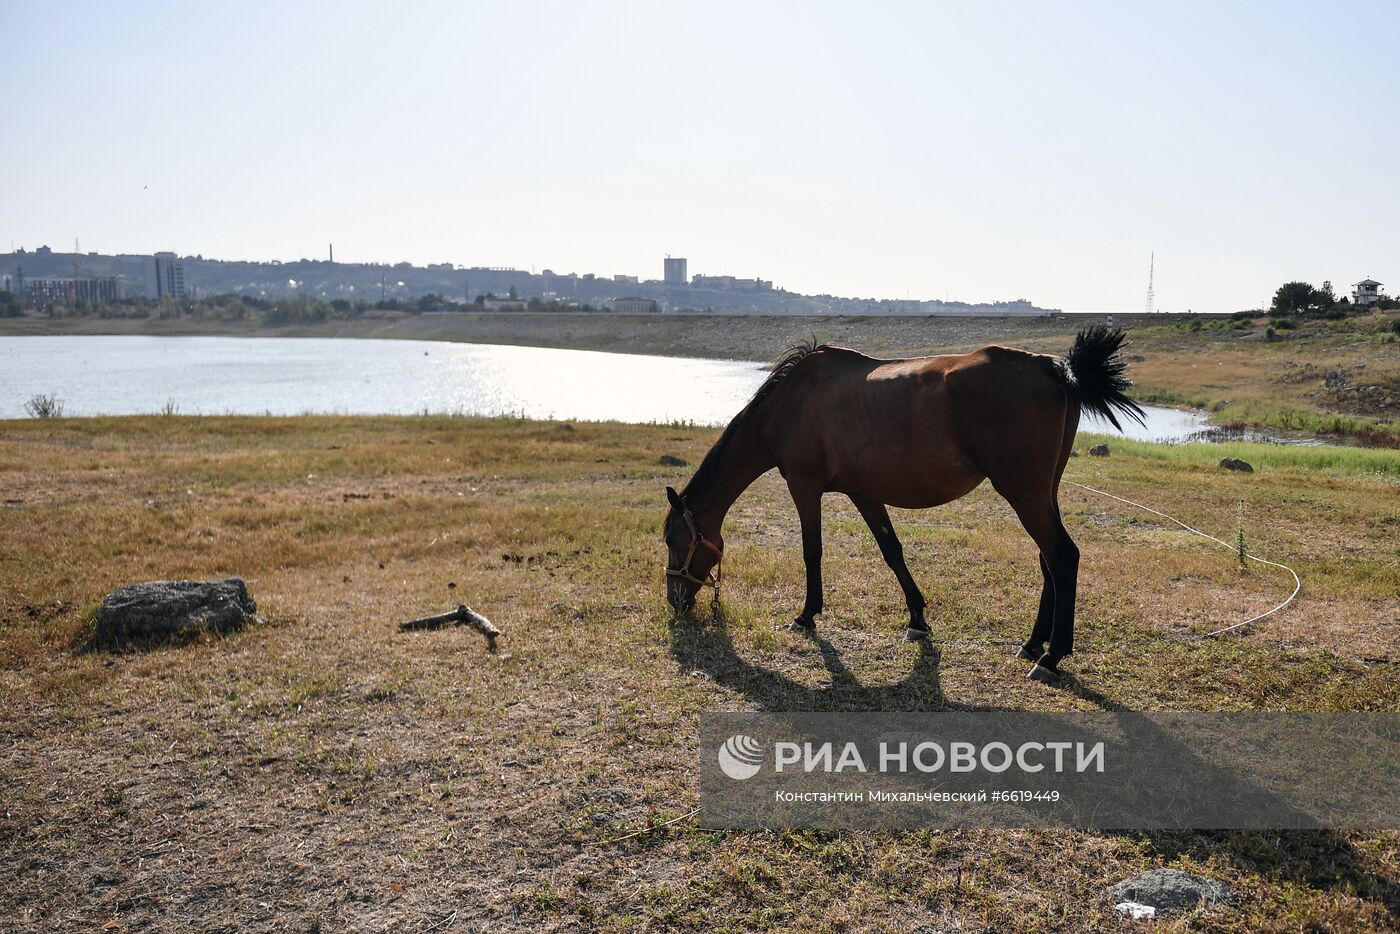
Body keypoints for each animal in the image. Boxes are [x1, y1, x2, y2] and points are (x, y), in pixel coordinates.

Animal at [660, 324, 1142, 683]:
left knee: (1062, 556)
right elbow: (892, 551)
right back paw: (1032, 644)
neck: (791, 401)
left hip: (1024, 492)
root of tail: (1053, 367)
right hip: (1043, 492)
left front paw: (807, 615)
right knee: (1048, 561)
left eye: (672, 539)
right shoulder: (864, 492)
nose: (676, 601)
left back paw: (1052, 657)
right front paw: (917, 619)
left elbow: (812, 551)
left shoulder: (804, 486)